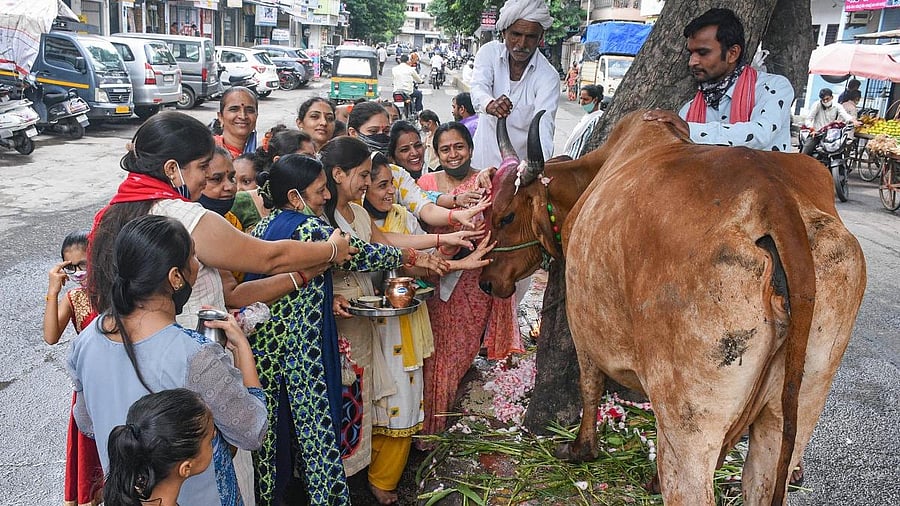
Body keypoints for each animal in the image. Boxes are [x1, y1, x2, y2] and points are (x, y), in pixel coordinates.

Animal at [479, 110, 867, 505]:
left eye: (506, 217)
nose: (487, 281)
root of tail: (774, 198)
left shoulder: (583, 326)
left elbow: (589, 386)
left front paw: (581, 449)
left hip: (689, 421)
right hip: (800, 401)